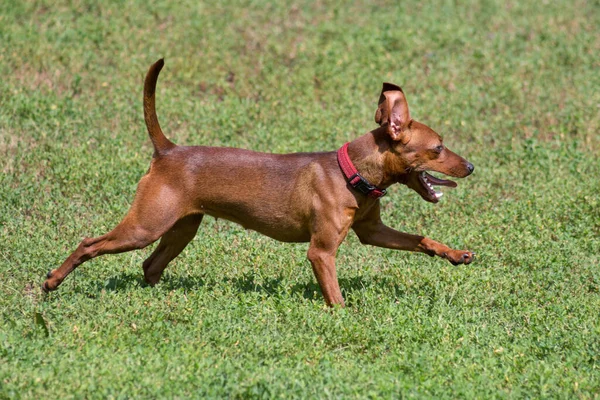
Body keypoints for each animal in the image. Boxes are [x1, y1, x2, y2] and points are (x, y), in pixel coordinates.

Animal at [41, 58, 474, 306]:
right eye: (438, 148)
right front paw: (346, 318)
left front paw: (456, 254)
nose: (470, 167)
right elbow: (336, 298)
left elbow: (420, 240)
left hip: (180, 228)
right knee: (90, 244)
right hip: (145, 226)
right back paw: (52, 282)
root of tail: (167, 150)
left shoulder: (373, 232)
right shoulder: (321, 253)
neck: (351, 173)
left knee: (150, 265)